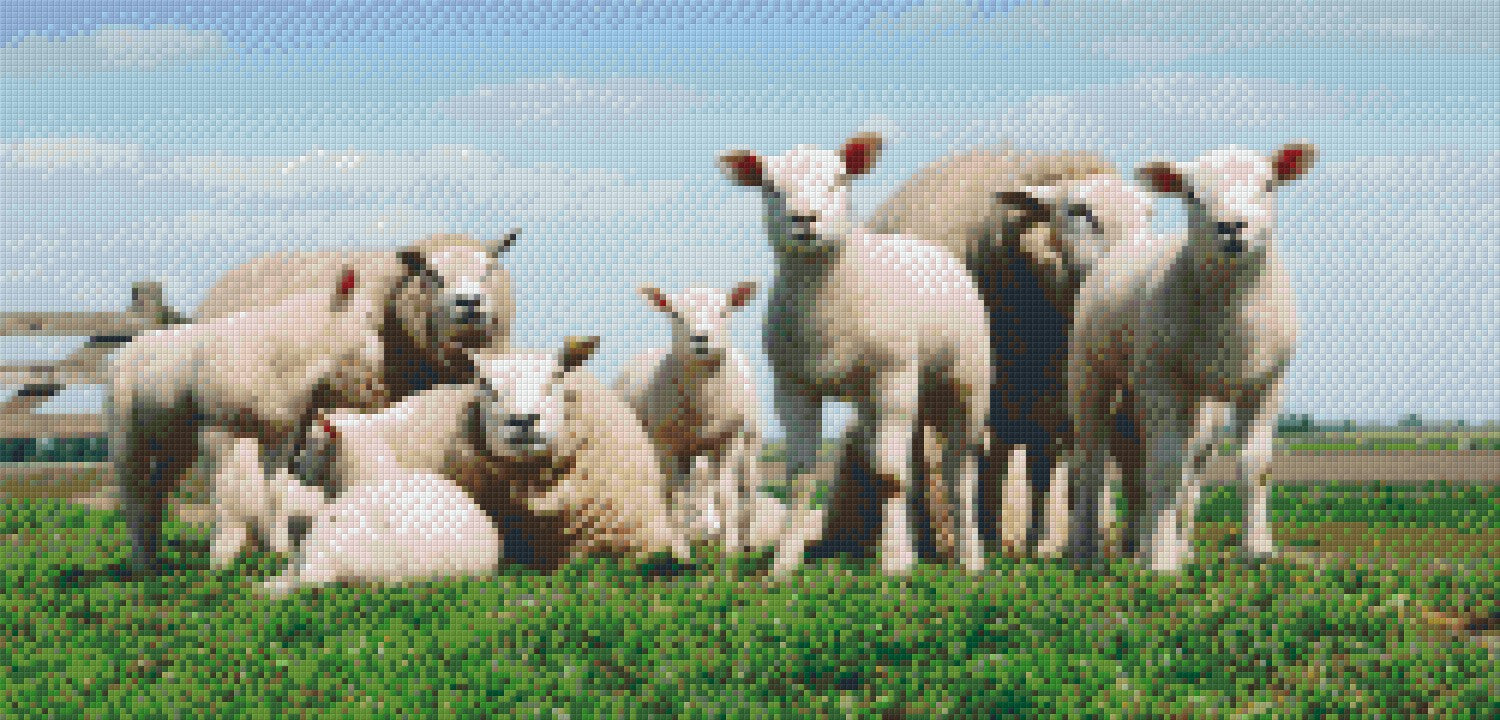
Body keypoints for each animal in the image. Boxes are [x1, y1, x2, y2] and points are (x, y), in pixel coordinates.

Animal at [110, 269, 385, 574]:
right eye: (368, 316)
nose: (381, 389)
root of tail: (131, 345)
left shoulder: (281, 432)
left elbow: (276, 491)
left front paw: (280, 551)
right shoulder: (216, 428)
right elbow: (223, 488)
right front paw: (221, 558)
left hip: (177, 439)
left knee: (156, 488)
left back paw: (155, 558)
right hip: (125, 430)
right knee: (133, 490)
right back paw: (141, 563)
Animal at [613, 281, 766, 555]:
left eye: (724, 312)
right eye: (675, 314)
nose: (701, 338)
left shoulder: (728, 438)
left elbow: (725, 493)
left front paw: (728, 550)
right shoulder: (666, 444)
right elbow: (671, 494)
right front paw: (680, 552)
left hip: (747, 444)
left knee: (746, 488)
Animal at [719, 132, 991, 578]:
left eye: (838, 181)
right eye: (770, 187)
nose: (805, 219)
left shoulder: (893, 373)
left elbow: (889, 473)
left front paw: (894, 562)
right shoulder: (792, 386)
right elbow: (802, 476)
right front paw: (784, 563)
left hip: (967, 382)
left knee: (959, 471)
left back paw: (969, 556)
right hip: (891, 397)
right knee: (908, 460)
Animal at [827, 149, 1121, 559]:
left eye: (1149, 212)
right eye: (1081, 210)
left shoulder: (1048, 393)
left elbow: (1041, 467)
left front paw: (1036, 541)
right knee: (920, 460)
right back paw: (927, 538)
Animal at [1067, 142, 1316, 572]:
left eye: (1269, 184)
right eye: (1190, 193)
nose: (1232, 226)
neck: (1234, 311)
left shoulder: (1266, 382)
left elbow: (1255, 466)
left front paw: (1258, 550)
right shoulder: (1163, 377)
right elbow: (1166, 466)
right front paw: (1162, 561)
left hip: (1193, 396)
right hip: (1090, 372)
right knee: (1092, 462)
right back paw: (1087, 550)